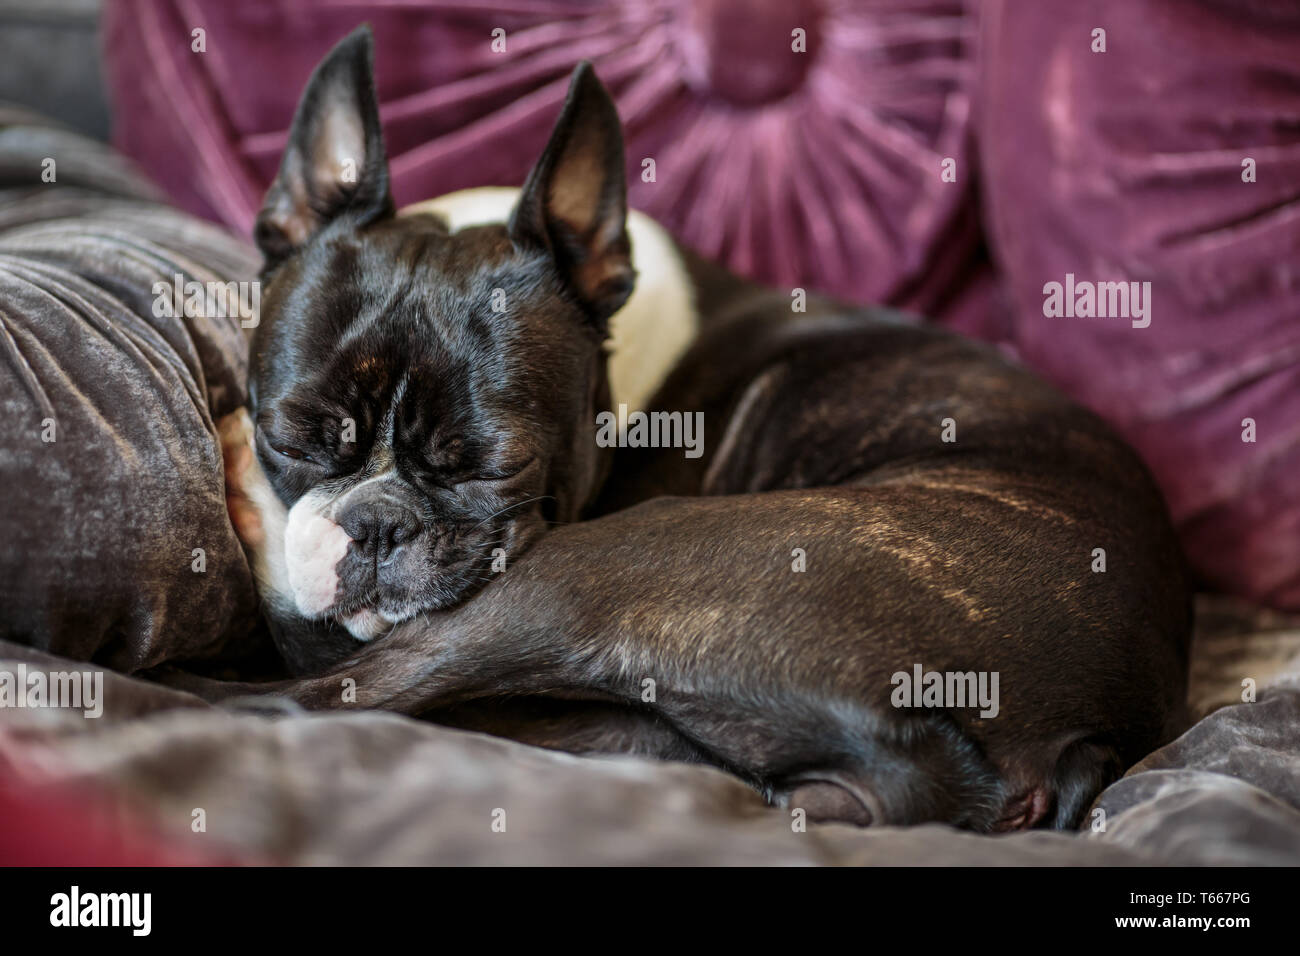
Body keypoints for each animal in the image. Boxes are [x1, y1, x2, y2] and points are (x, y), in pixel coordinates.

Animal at [210, 26, 1190, 827]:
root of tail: (1059, 745)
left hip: (570, 581)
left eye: (496, 466)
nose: (377, 525)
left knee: (308, 694)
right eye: (296, 438)